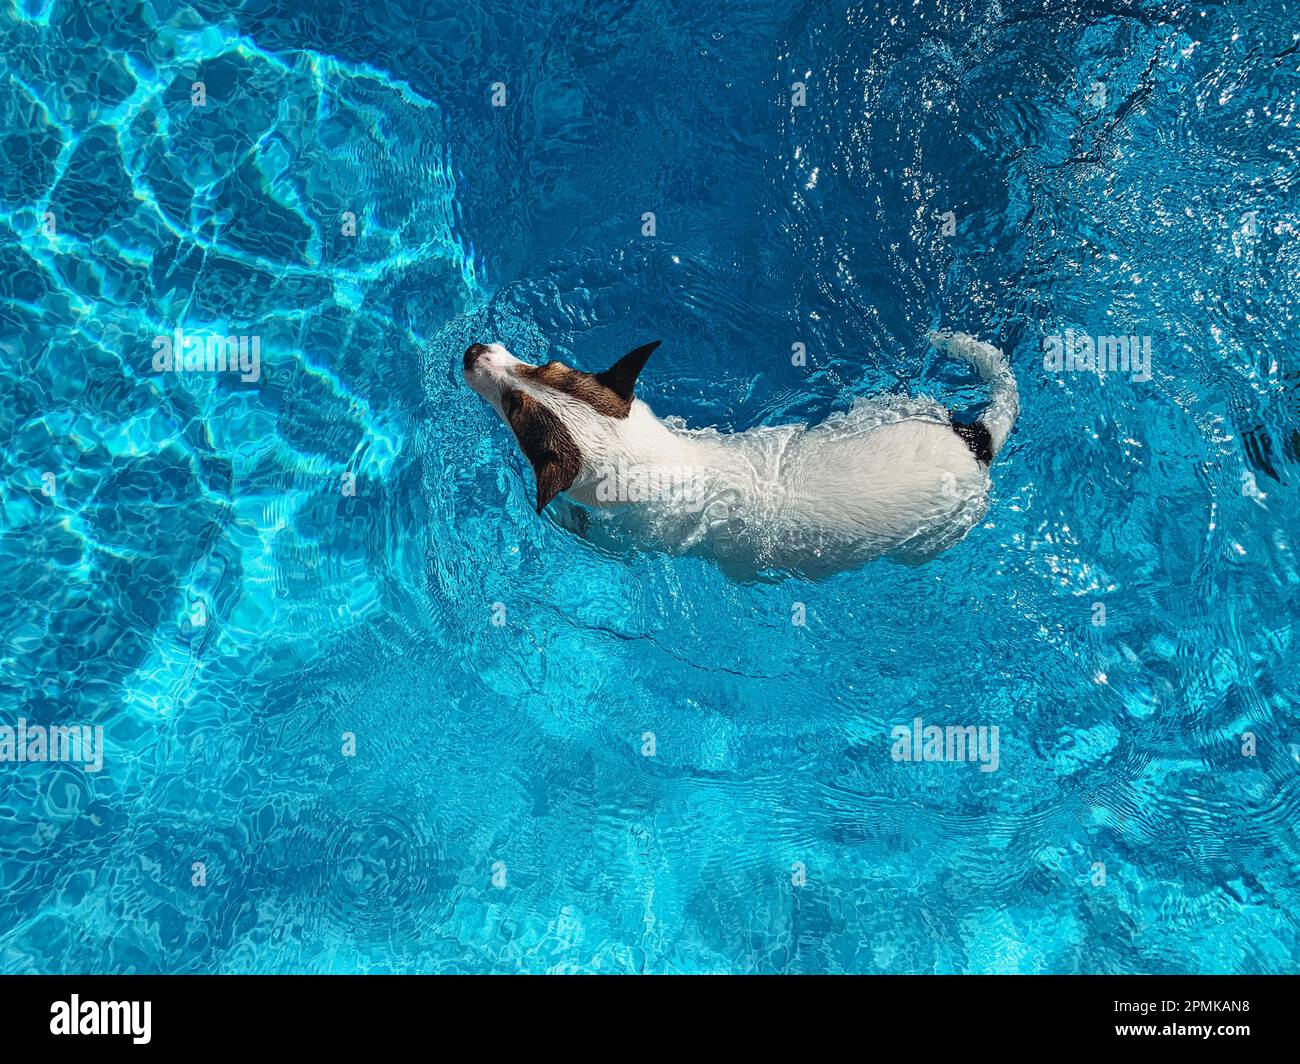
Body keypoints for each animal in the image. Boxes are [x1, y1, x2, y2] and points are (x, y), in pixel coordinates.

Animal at [462, 332, 1019, 577]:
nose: (472, 352)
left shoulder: (623, 541)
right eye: (547, 365)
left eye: (512, 409)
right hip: (892, 408)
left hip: (938, 536)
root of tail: (976, 439)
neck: (664, 460)